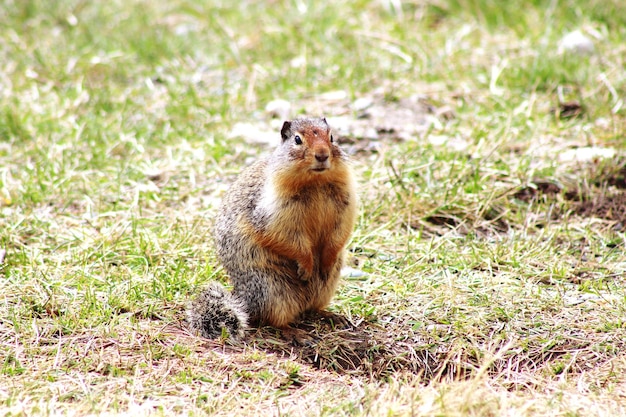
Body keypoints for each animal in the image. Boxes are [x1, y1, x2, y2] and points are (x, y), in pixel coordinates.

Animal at [186, 116, 356, 338]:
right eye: (297, 139)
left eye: (332, 137)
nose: (322, 154)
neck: (315, 182)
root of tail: (242, 299)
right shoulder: (276, 211)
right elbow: (286, 237)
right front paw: (306, 266)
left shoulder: (345, 203)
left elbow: (340, 232)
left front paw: (326, 261)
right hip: (271, 289)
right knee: (274, 320)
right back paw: (296, 334)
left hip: (326, 287)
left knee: (312, 309)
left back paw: (332, 316)